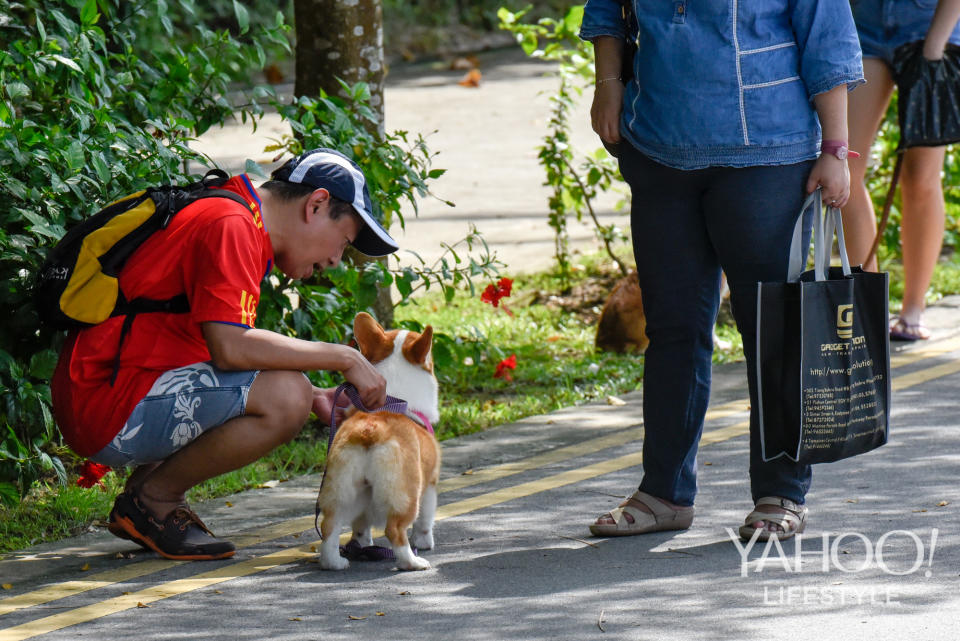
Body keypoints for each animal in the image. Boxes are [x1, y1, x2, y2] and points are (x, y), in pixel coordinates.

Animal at [316, 312, 440, 568]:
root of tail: (368, 431)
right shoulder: (430, 484)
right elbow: (425, 521)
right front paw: (425, 542)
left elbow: (361, 527)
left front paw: (363, 544)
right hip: (405, 495)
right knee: (395, 530)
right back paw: (412, 562)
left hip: (342, 491)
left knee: (330, 526)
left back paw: (335, 562)